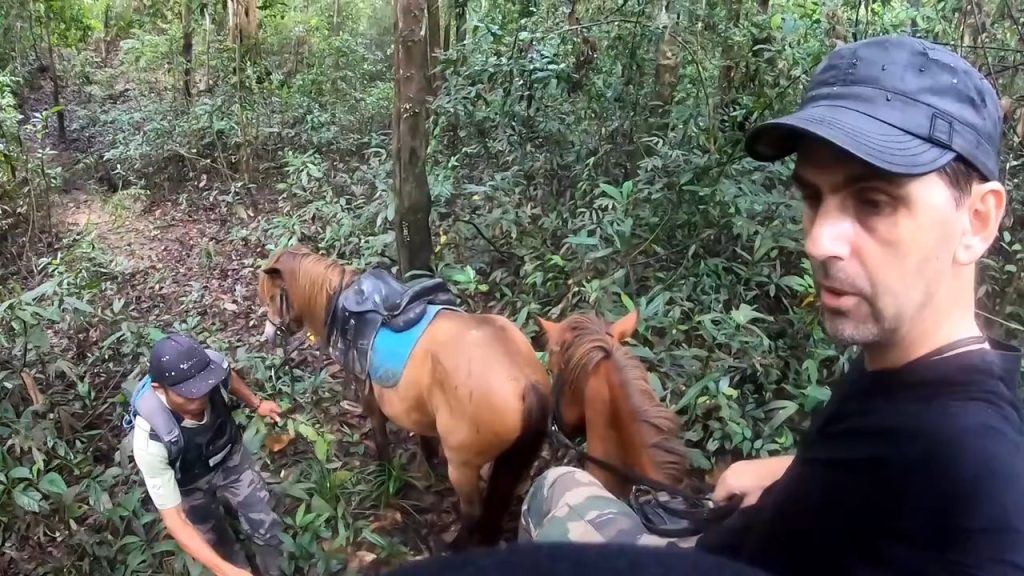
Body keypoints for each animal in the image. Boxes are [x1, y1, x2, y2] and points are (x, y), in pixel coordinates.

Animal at [254, 242, 552, 545]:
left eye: (271, 297)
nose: (269, 336)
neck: (338, 303)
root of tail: (527, 383)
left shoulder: (369, 396)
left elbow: (380, 436)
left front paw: (384, 473)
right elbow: (424, 435)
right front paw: (430, 462)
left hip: (463, 465)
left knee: (473, 512)